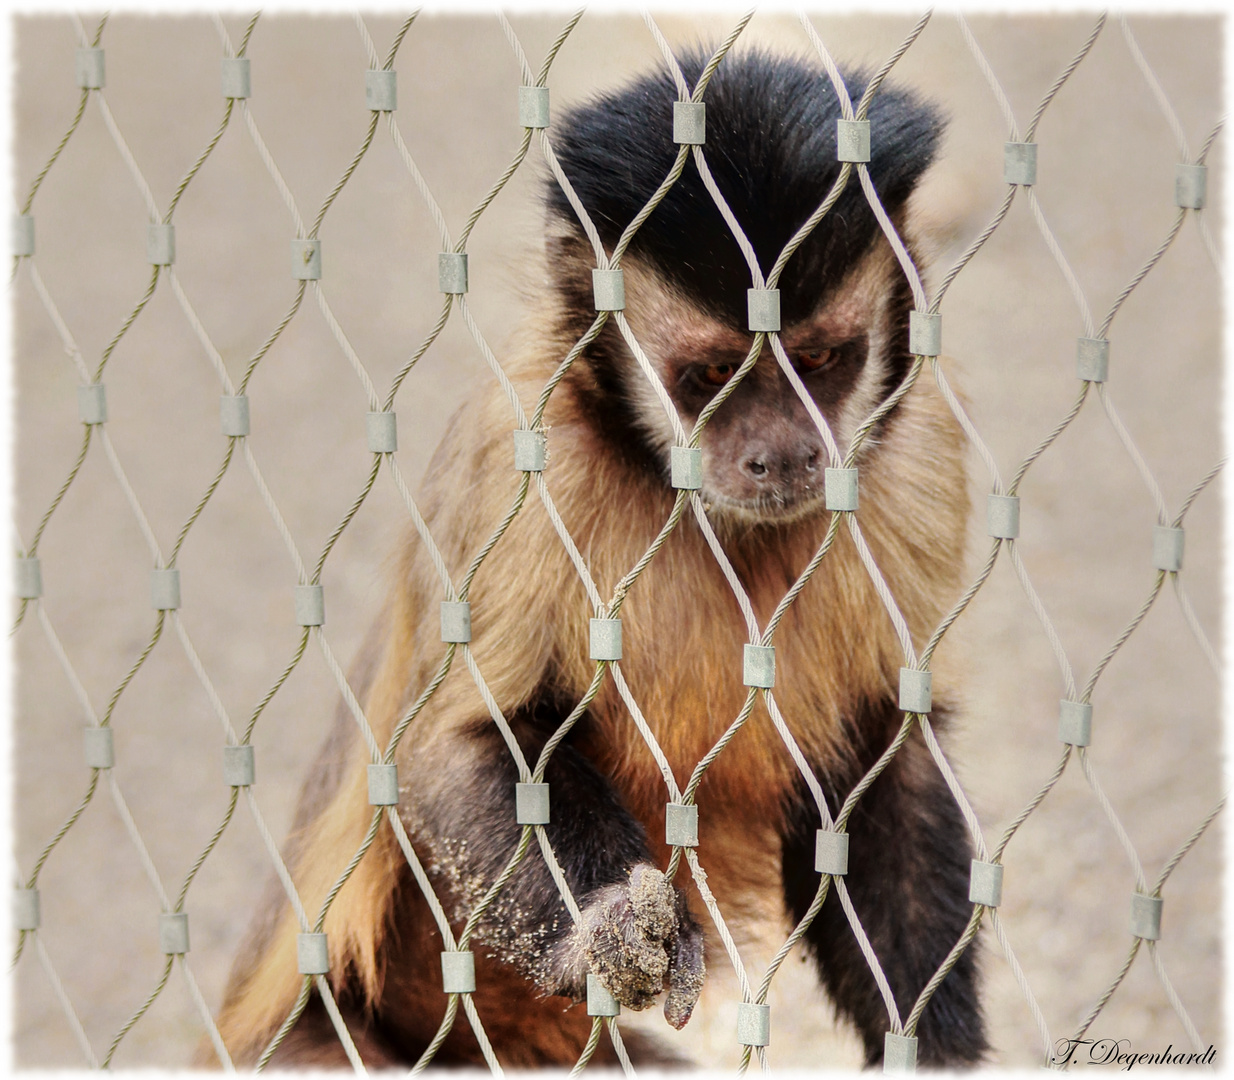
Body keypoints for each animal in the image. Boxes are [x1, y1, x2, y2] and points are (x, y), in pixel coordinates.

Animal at [209, 48, 982, 1066]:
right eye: (709, 375)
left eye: (819, 360)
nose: (781, 453)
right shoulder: (526, 464)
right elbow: (454, 747)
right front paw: (611, 924)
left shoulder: (919, 461)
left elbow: (886, 762)